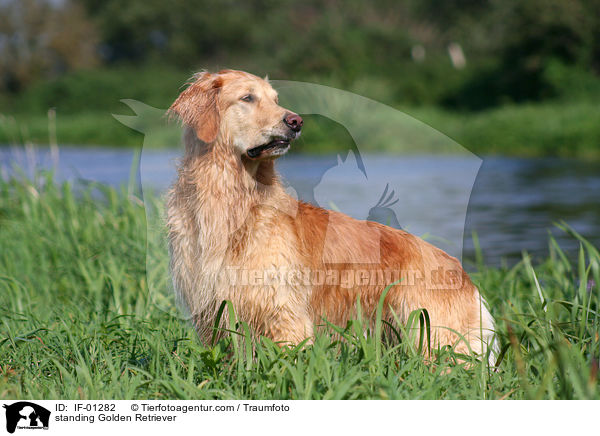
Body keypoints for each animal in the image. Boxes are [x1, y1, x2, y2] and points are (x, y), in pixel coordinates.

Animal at [165, 68, 496, 362]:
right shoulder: (212, 310)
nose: (296, 121)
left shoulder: (282, 311)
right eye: (248, 97)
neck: (235, 200)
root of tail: (464, 275)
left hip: (434, 336)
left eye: (275, 99)